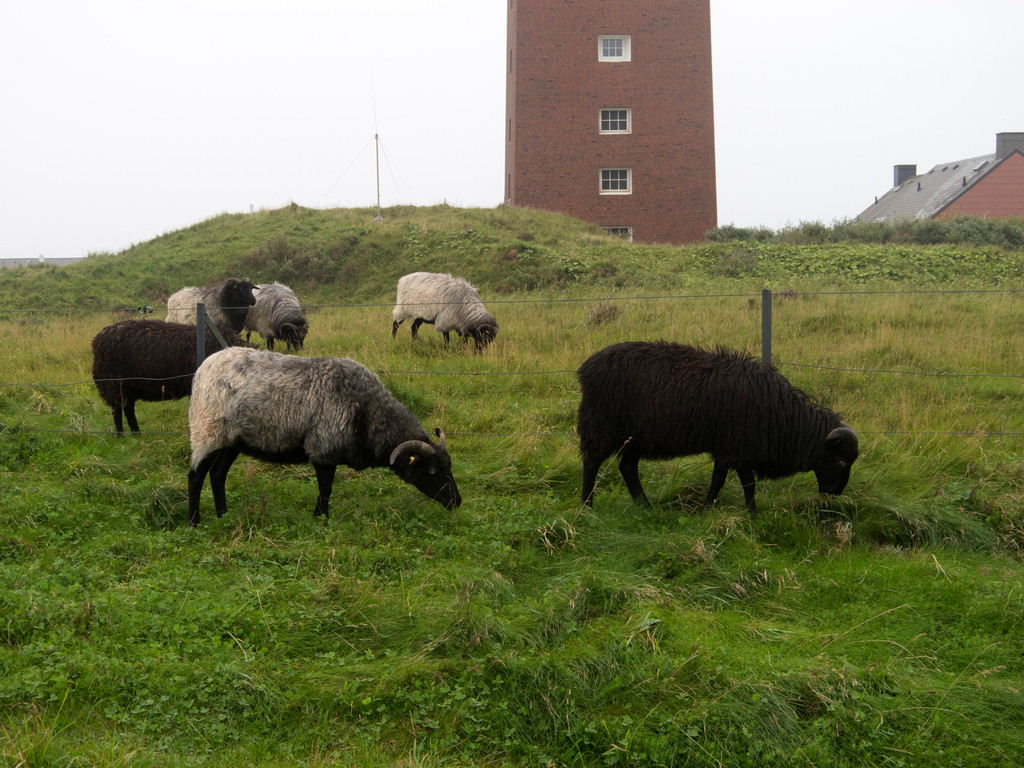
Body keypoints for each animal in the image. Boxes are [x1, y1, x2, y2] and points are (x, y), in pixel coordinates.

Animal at [91, 319, 244, 438]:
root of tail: (98, 339)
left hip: (129, 386)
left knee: (128, 409)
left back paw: (136, 434)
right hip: (114, 383)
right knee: (117, 410)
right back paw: (120, 436)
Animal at [577, 342, 856, 512]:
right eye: (842, 461)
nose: (834, 496)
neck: (784, 417)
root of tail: (586, 368)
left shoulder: (739, 449)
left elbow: (741, 482)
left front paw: (749, 513)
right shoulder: (733, 447)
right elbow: (725, 481)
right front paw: (710, 509)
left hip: (636, 437)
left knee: (627, 468)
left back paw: (645, 506)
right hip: (600, 425)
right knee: (591, 464)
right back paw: (587, 507)